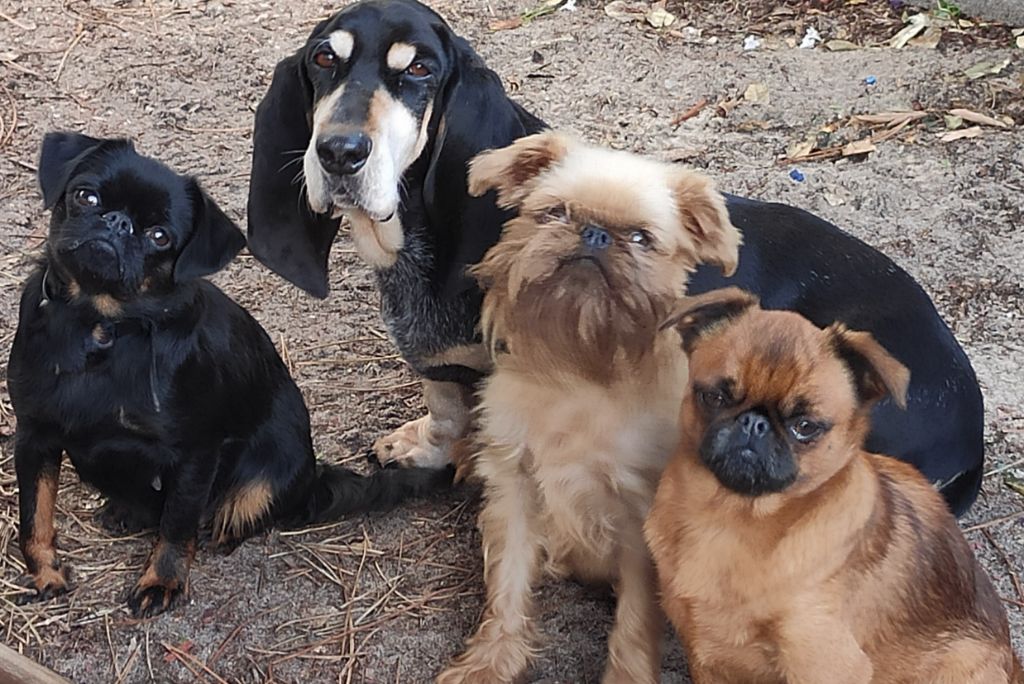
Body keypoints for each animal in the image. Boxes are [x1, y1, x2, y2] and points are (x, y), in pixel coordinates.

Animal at [8, 131, 448, 618]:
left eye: (160, 237)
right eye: (85, 196)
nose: (118, 223)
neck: (101, 325)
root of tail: (312, 480)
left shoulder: (193, 454)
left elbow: (177, 523)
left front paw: (162, 580)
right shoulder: (34, 436)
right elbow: (35, 515)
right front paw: (45, 572)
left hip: (269, 471)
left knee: (239, 508)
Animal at [245, 0, 983, 511]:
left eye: (419, 69)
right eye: (323, 60)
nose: (339, 152)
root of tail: (970, 427)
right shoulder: (439, 363)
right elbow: (446, 402)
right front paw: (422, 443)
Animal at [436, 131, 741, 679]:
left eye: (641, 238)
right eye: (555, 212)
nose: (595, 234)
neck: (578, 369)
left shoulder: (640, 519)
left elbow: (636, 621)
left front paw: (628, 676)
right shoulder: (515, 487)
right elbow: (508, 582)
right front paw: (492, 660)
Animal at [643, 288, 1019, 684]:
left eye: (805, 426)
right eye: (714, 397)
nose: (754, 423)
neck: (730, 518)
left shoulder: (823, 663)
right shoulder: (710, 661)